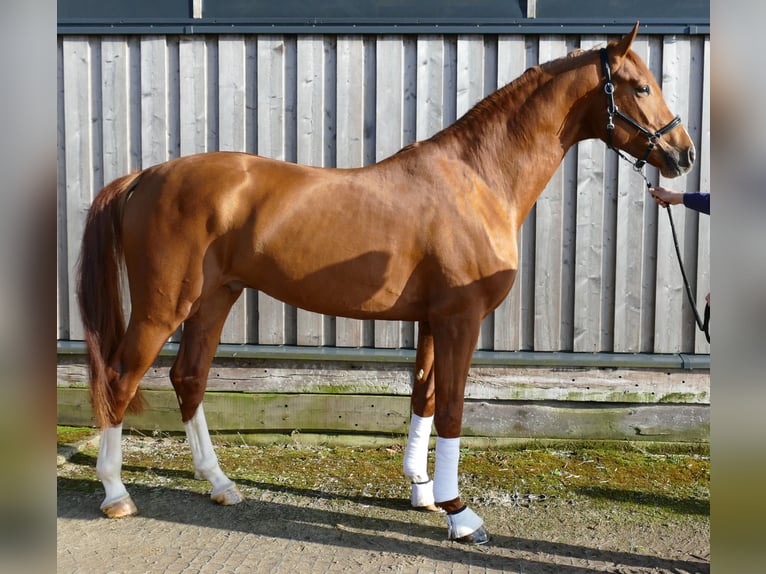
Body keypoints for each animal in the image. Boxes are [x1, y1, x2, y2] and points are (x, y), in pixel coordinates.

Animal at [76, 22, 696, 544]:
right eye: (641, 87)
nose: (683, 154)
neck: (478, 180)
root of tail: (144, 177)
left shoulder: (433, 319)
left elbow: (423, 396)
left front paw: (423, 491)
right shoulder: (460, 320)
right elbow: (452, 408)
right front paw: (460, 513)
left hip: (214, 298)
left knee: (189, 377)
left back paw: (220, 484)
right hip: (163, 306)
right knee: (120, 378)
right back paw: (116, 492)